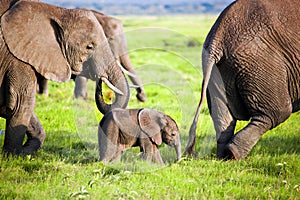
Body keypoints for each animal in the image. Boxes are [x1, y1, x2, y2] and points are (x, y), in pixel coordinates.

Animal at [0, 0, 129, 155]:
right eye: (89, 47)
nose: (100, 82)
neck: (55, 11)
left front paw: (22, 152)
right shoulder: (15, 57)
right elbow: (20, 103)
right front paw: (12, 155)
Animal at [185, 0, 300, 159]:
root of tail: (217, 37)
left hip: (219, 71)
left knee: (224, 119)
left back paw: (223, 157)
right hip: (259, 62)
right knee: (276, 113)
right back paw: (233, 154)